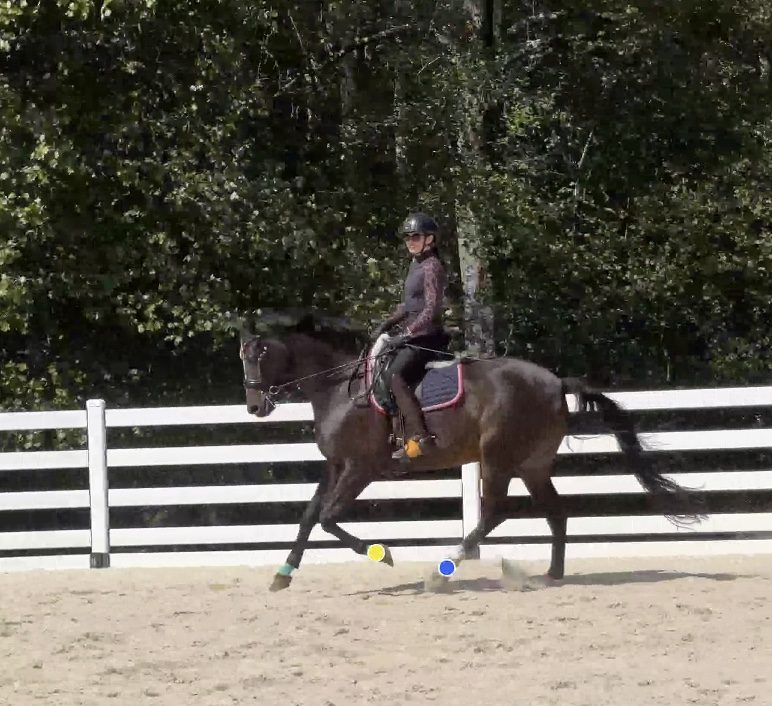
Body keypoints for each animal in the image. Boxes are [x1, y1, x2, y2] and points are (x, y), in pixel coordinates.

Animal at [238, 320, 706, 592]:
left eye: (260, 356)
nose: (255, 407)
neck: (339, 389)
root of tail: (556, 382)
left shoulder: (360, 469)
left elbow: (328, 517)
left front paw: (382, 554)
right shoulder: (336, 465)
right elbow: (308, 516)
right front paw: (282, 575)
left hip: (497, 458)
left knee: (496, 511)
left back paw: (443, 568)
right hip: (532, 465)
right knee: (555, 512)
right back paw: (551, 575)